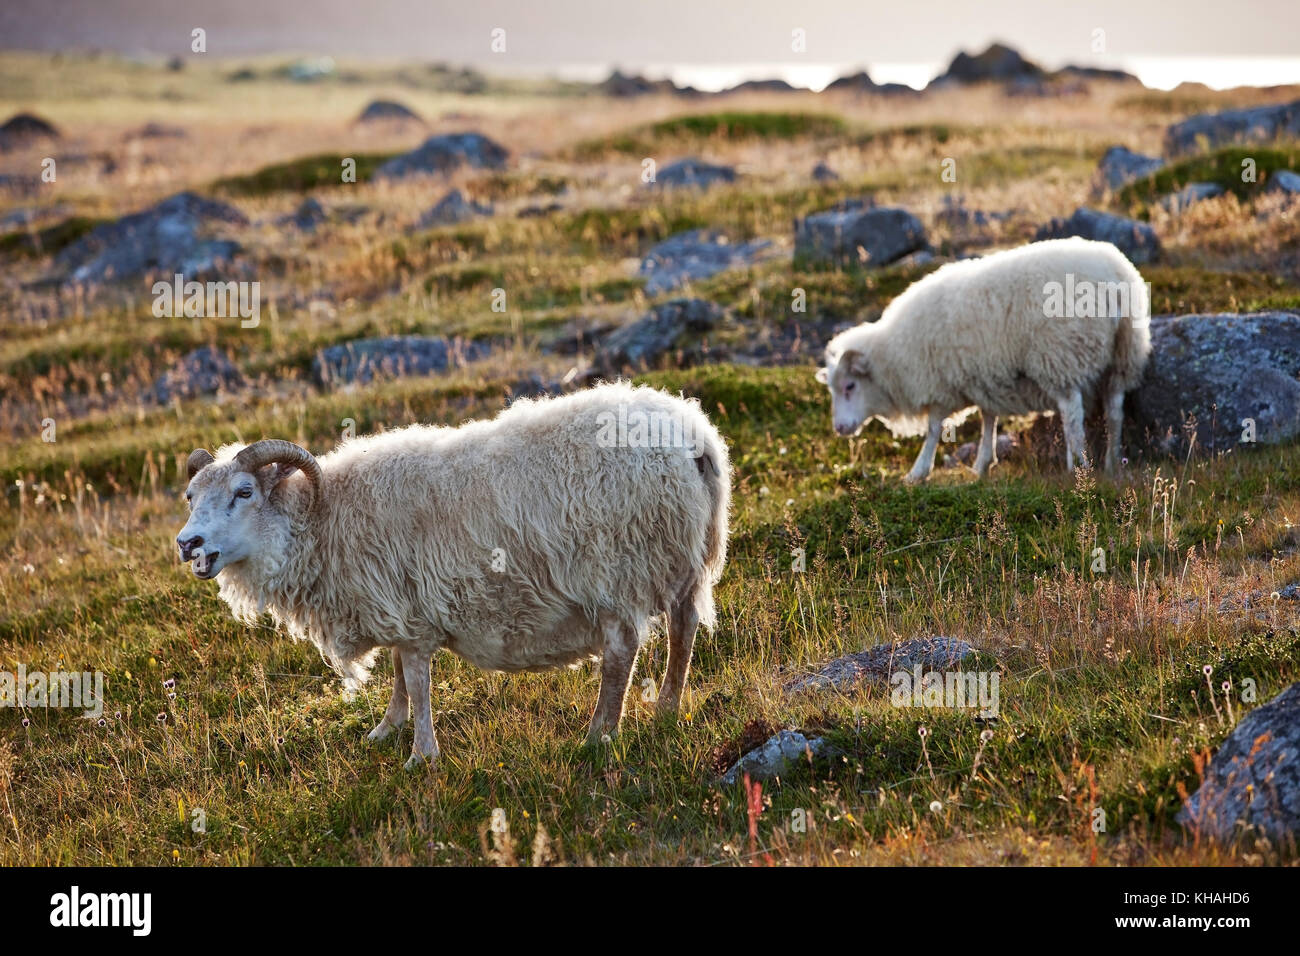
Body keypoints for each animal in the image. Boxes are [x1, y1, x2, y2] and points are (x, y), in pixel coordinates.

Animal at [172, 382, 733, 770]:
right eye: (190, 495)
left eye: (244, 492)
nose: (188, 544)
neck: (324, 518)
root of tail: (696, 436)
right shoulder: (398, 609)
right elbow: (400, 675)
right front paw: (385, 730)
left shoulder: (413, 617)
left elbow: (417, 681)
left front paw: (421, 756)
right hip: (681, 559)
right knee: (683, 630)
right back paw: (666, 710)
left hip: (615, 569)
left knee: (621, 652)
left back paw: (599, 735)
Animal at [816, 236, 1154, 481]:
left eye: (849, 386)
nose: (839, 429)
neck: (893, 356)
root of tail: (1115, 280)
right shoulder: (982, 376)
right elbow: (988, 418)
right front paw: (981, 464)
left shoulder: (940, 385)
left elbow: (934, 429)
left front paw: (918, 472)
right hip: (1123, 352)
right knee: (1114, 410)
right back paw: (1111, 463)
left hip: (1061, 354)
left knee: (1072, 415)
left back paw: (1079, 468)